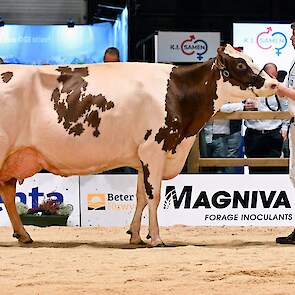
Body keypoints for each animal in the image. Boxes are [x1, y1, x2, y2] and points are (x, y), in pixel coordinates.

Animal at [0, 44, 278, 247]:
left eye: (251, 58)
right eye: (240, 64)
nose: (274, 83)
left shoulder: (142, 157)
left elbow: (141, 196)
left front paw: (135, 235)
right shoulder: (154, 149)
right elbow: (154, 197)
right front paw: (156, 238)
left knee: (8, 194)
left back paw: (24, 235)